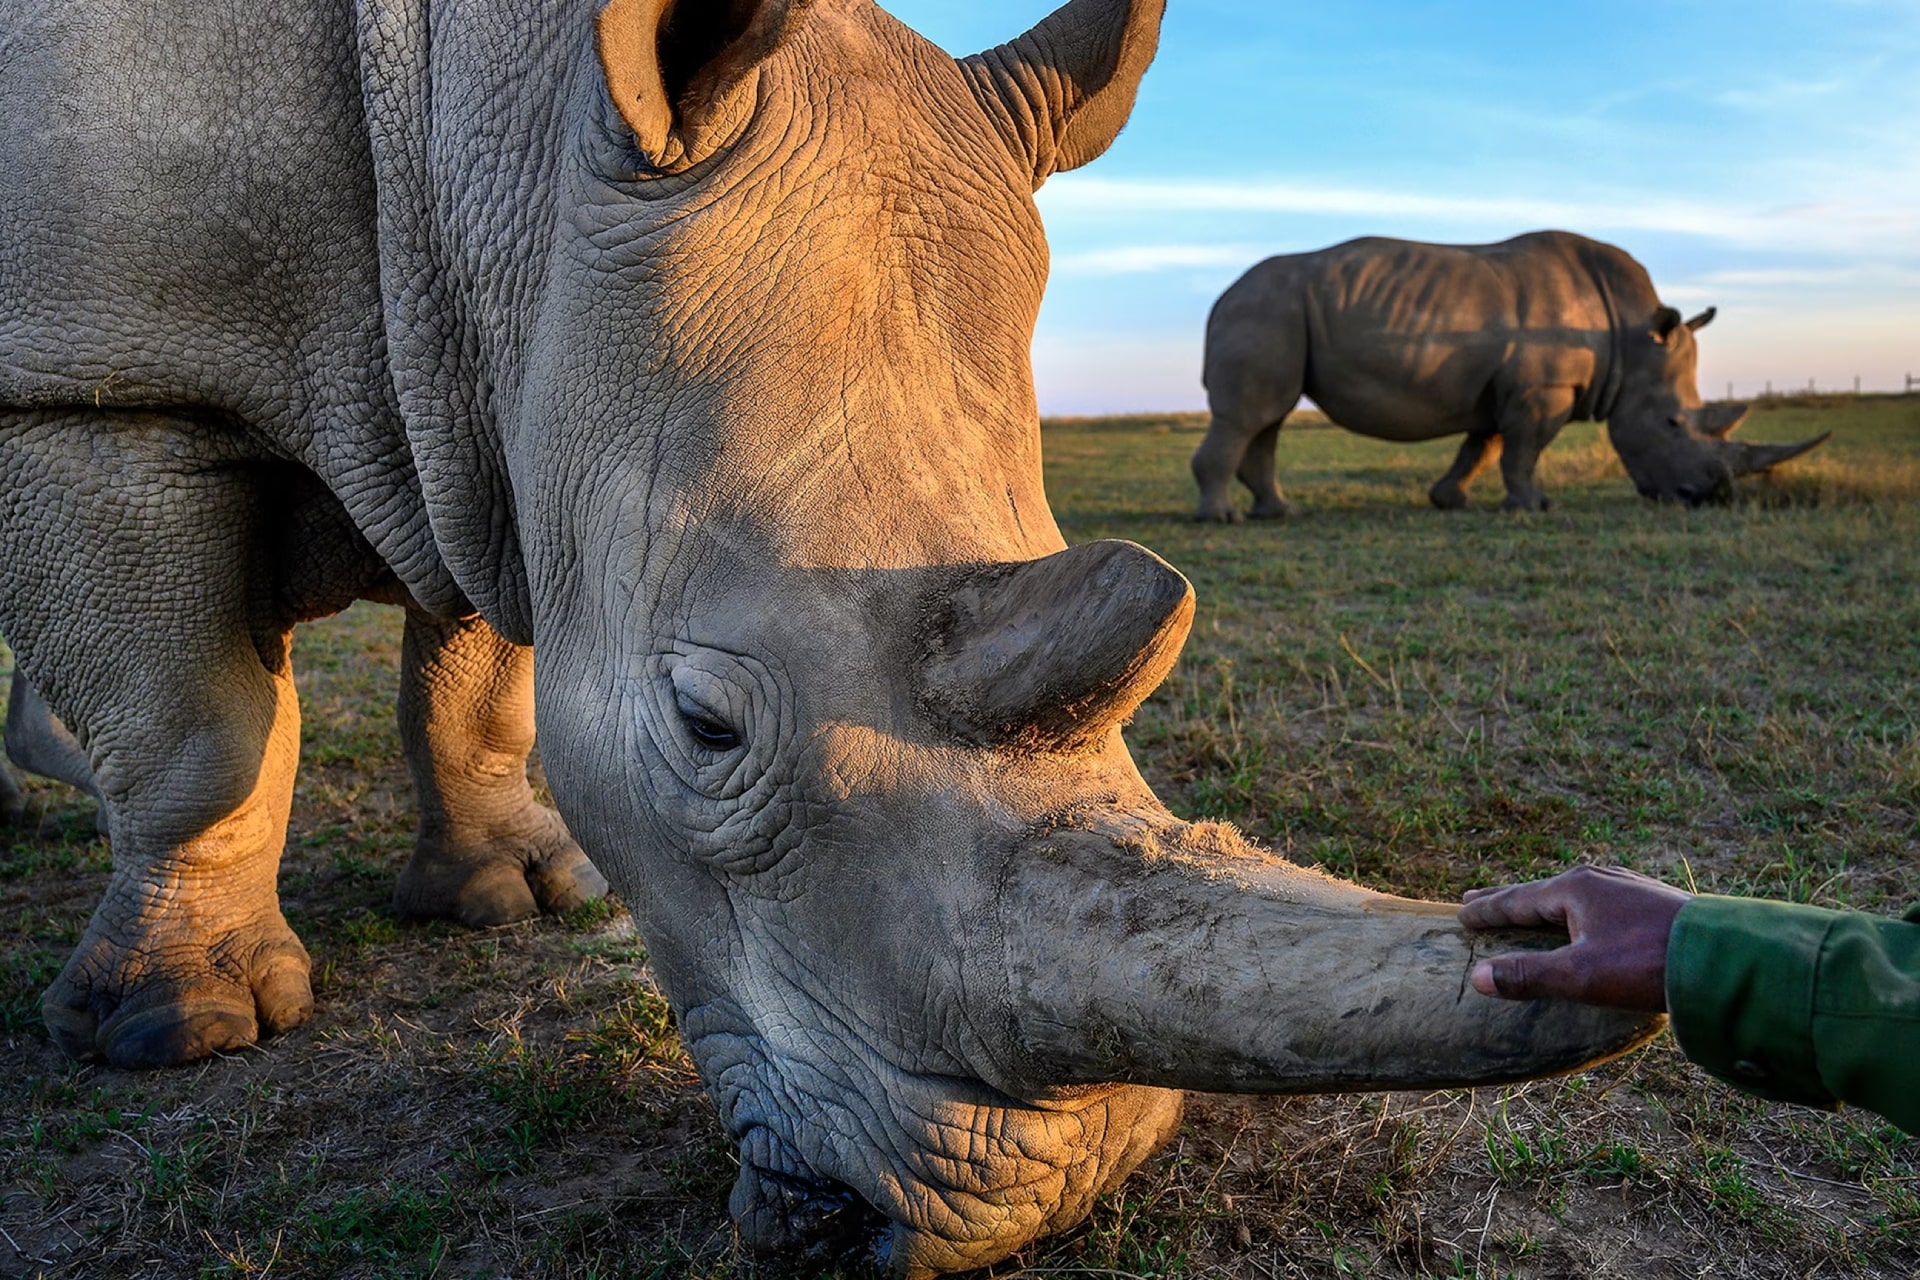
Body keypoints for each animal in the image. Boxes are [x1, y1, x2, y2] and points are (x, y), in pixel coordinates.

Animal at [0, 2, 1666, 1274]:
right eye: (705, 730)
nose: (1051, 1196)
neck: (480, 144)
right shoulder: (87, 388)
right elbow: (201, 723)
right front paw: (178, 1031)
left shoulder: (481, 415)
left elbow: (476, 674)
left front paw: (506, 899)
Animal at [1182, 233, 1827, 521]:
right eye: (1673, 424)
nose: (1702, 498)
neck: (1632, 337)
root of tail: (1220, 296)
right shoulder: (1545, 389)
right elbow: (1523, 450)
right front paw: (1534, 506)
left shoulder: (1507, 388)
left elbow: (1483, 447)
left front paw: (1450, 501)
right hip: (1265, 309)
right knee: (1249, 415)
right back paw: (1223, 518)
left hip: (1274, 312)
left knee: (1269, 418)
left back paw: (1278, 512)